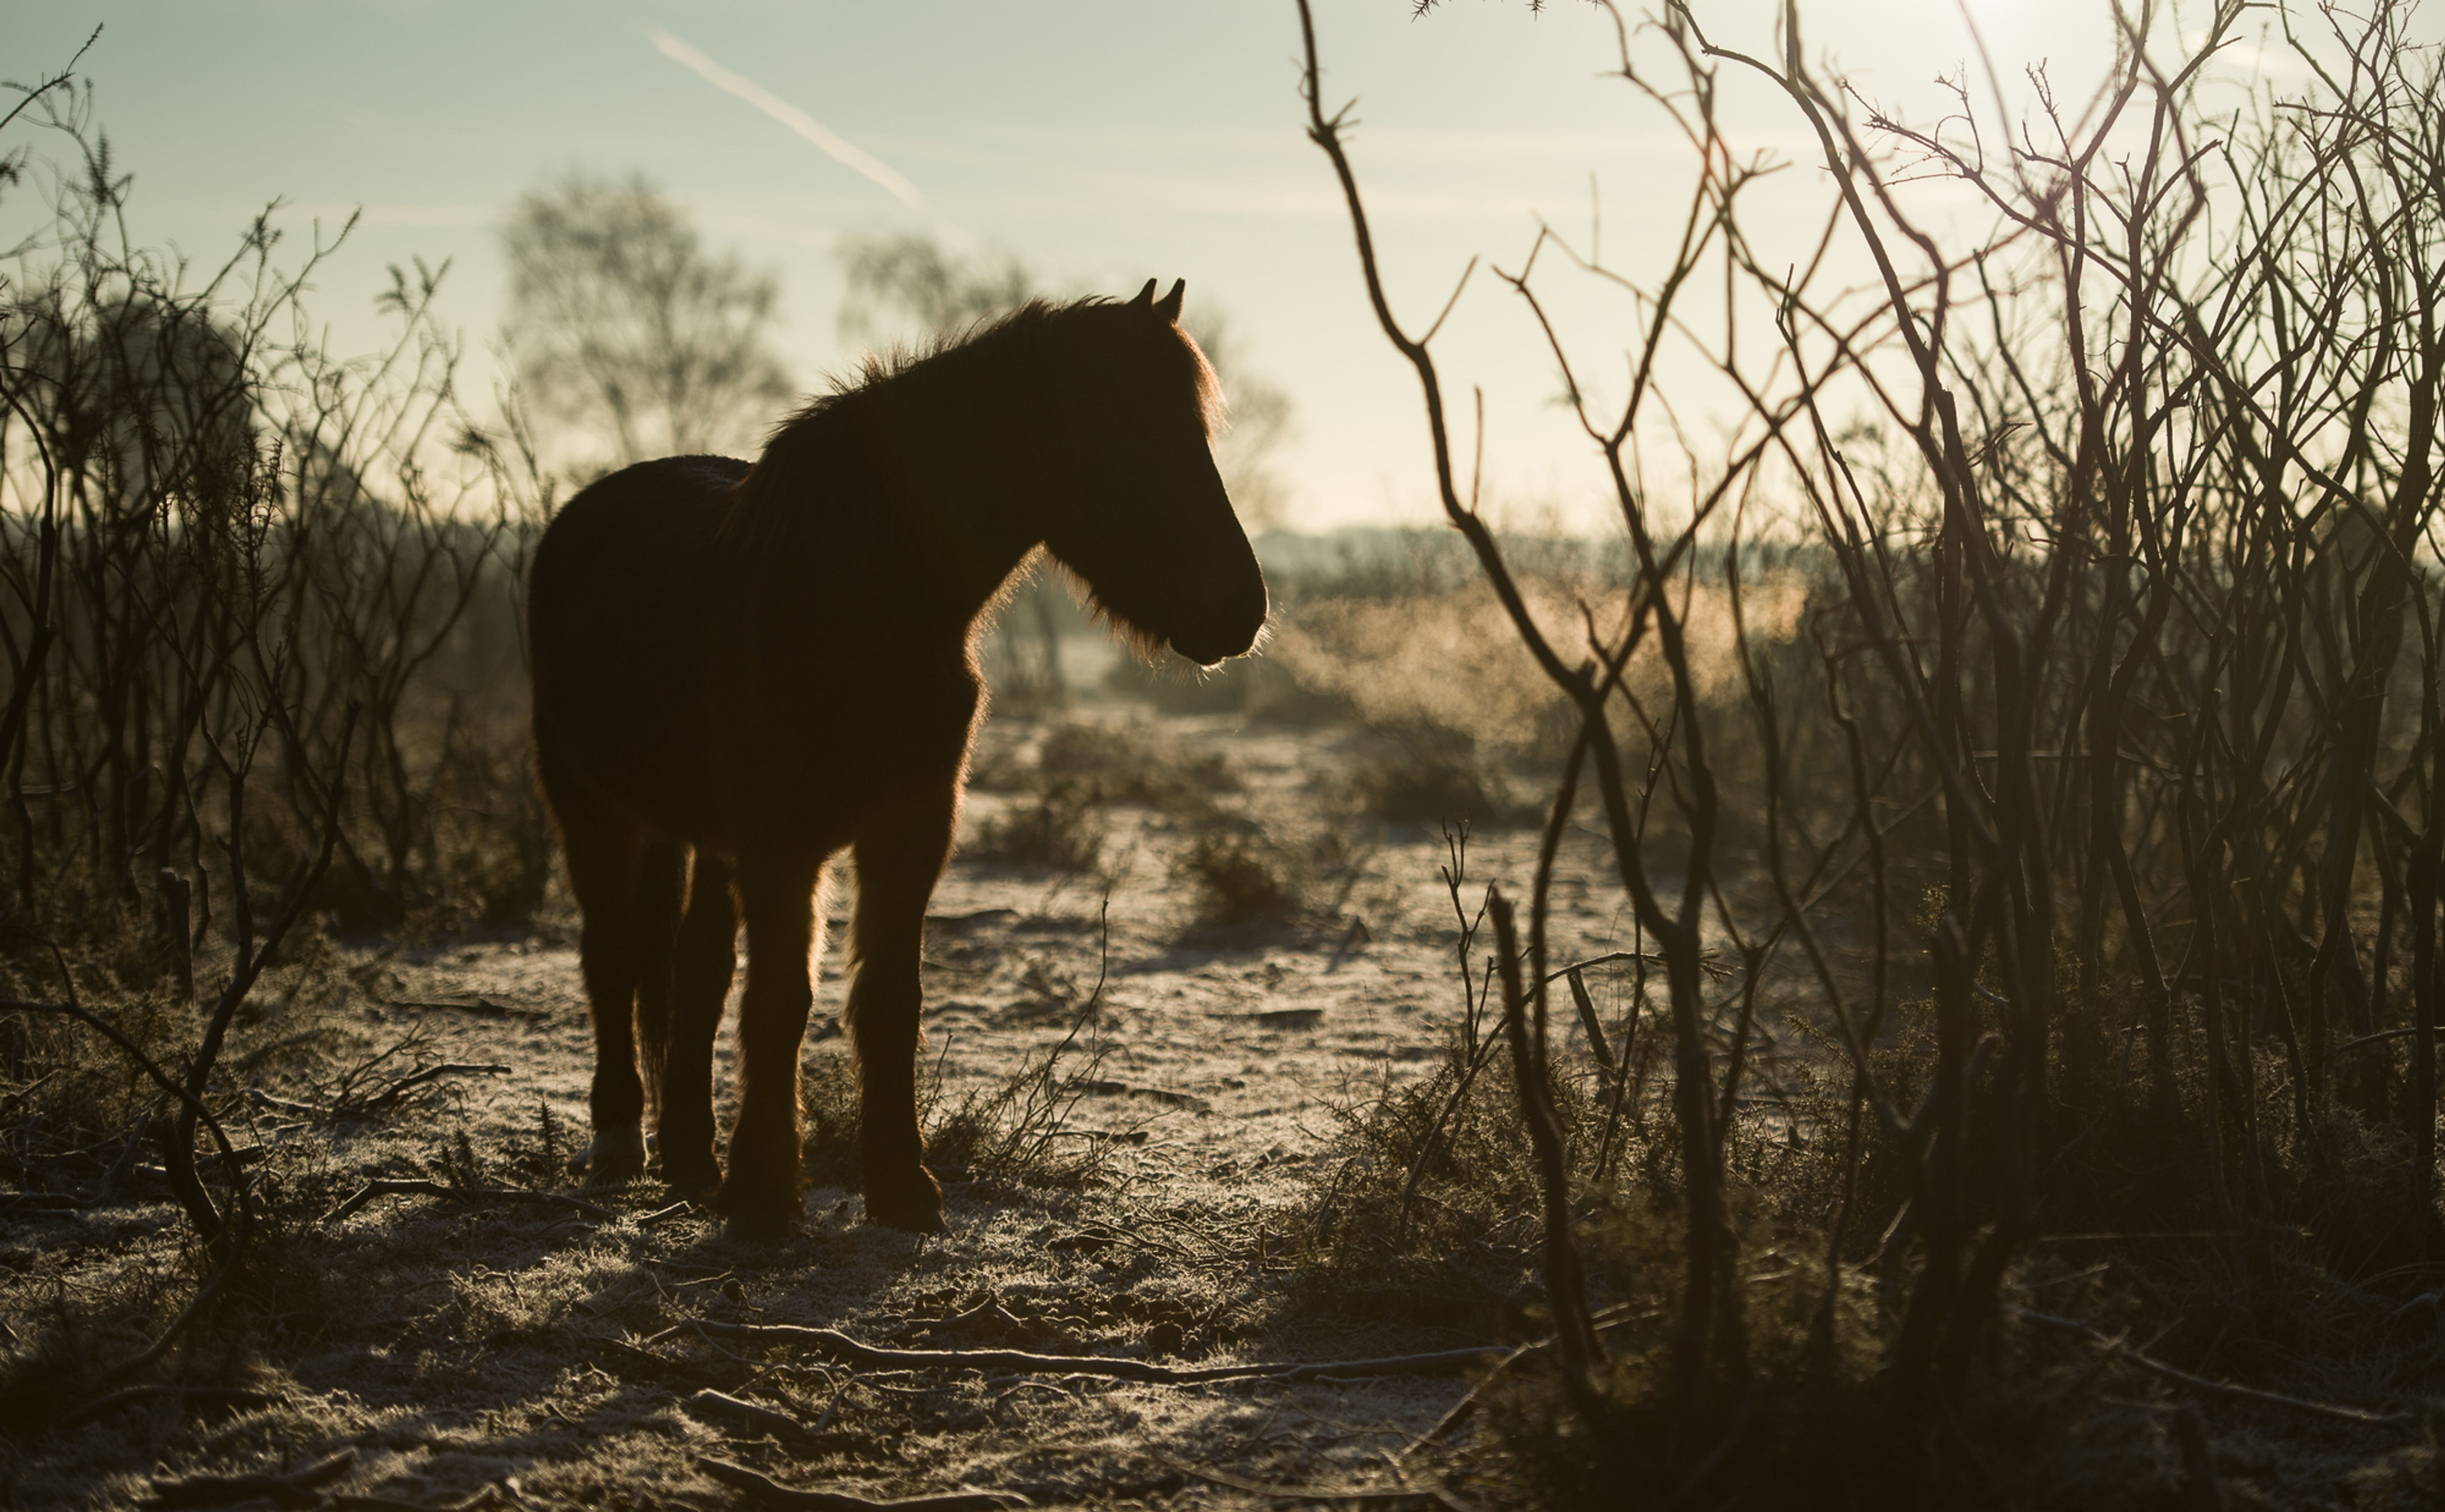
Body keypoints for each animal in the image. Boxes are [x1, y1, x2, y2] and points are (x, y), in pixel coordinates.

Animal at [527, 279, 1268, 1242]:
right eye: (1133, 435)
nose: (1243, 608)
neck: (856, 596)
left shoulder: (910, 828)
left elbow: (886, 1002)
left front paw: (899, 1185)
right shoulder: (783, 842)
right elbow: (781, 1002)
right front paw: (765, 1198)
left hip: (698, 837)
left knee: (692, 966)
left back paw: (690, 1155)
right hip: (591, 808)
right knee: (611, 956)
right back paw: (621, 1136)